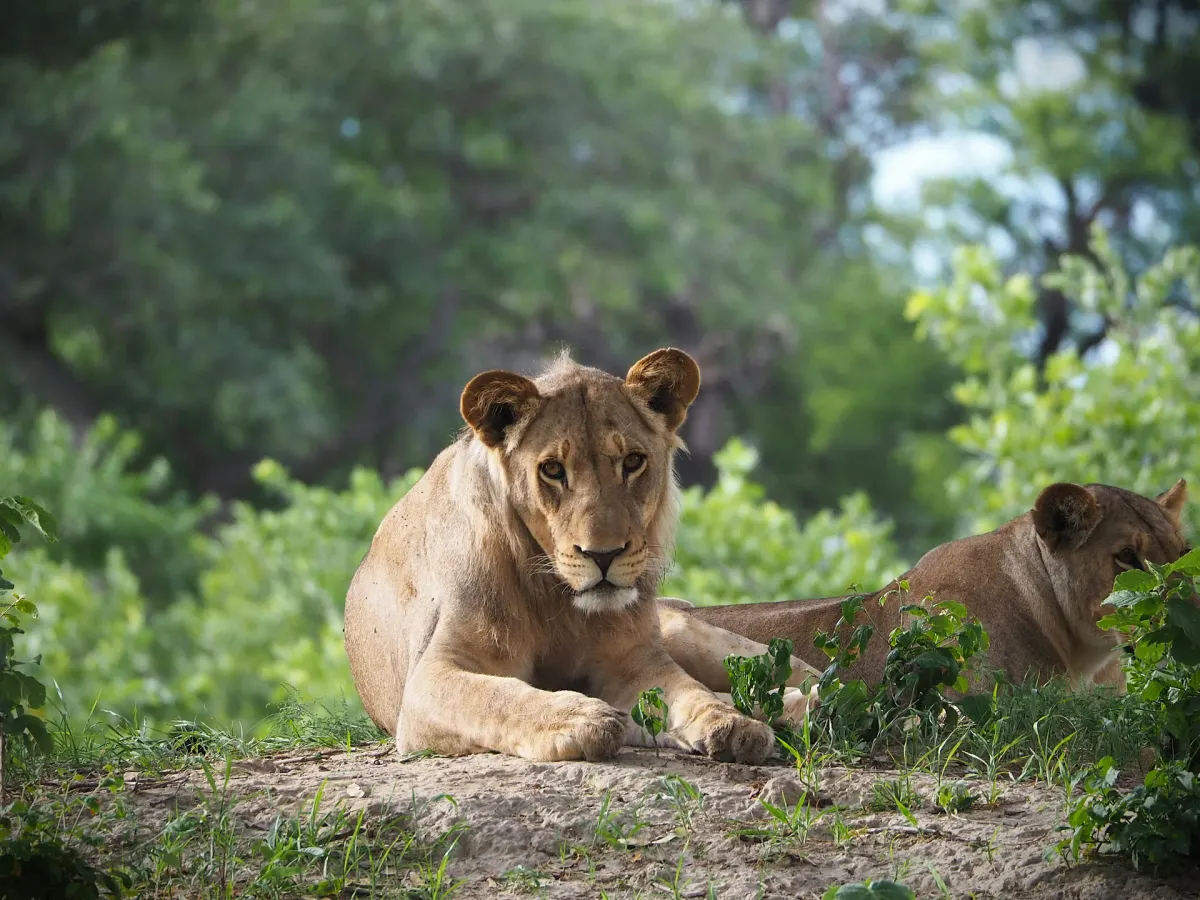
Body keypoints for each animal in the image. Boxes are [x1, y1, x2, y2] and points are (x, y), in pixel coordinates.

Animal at [343, 348, 775, 764]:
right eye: (552, 469)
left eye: (633, 462)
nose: (604, 555)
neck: (556, 598)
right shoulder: (430, 676)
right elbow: (499, 698)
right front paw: (580, 718)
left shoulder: (636, 662)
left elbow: (691, 692)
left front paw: (731, 725)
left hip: (695, 638)